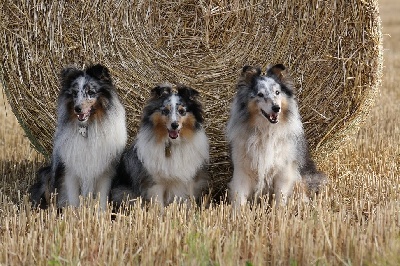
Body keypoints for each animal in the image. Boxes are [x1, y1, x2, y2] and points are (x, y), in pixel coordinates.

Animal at [29, 63, 126, 209]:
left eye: (91, 92)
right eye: (74, 93)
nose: (77, 109)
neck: (87, 129)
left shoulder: (106, 171)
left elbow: (102, 197)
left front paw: (102, 213)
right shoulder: (70, 169)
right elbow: (73, 198)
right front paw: (73, 213)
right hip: (47, 175)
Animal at [227, 65, 326, 207]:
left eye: (277, 92)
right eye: (260, 94)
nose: (276, 108)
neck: (266, 131)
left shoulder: (283, 172)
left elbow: (280, 199)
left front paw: (279, 212)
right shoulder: (242, 171)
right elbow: (239, 199)